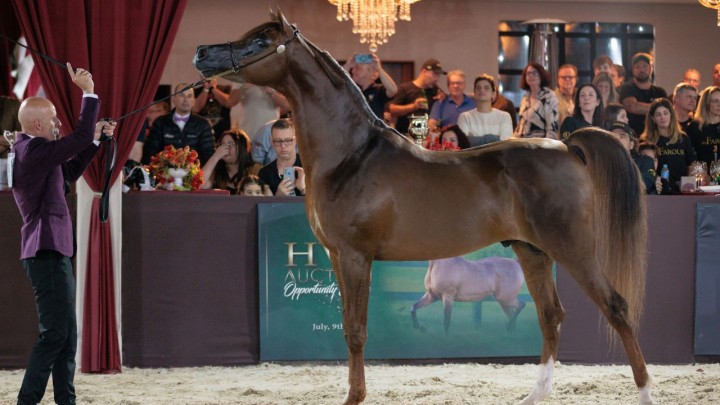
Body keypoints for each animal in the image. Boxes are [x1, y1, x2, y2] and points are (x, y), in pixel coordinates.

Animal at [193, 9, 652, 405]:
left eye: (259, 41)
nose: (201, 53)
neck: (352, 155)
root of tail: (567, 146)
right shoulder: (337, 256)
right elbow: (348, 327)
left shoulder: (356, 256)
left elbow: (356, 331)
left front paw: (354, 397)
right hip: (533, 252)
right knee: (550, 315)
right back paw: (534, 395)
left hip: (572, 249)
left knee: (616, 308)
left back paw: (645, 391)